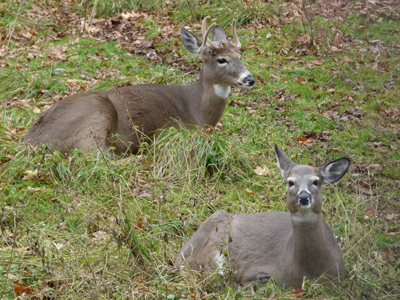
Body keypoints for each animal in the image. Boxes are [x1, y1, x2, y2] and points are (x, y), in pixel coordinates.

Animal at [24, 17, 256, 156]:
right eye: (221, 60)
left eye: (240, 56)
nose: (250, 79)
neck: (196, 109)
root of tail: (31, 140)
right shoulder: (174, 128)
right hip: (94, 116)